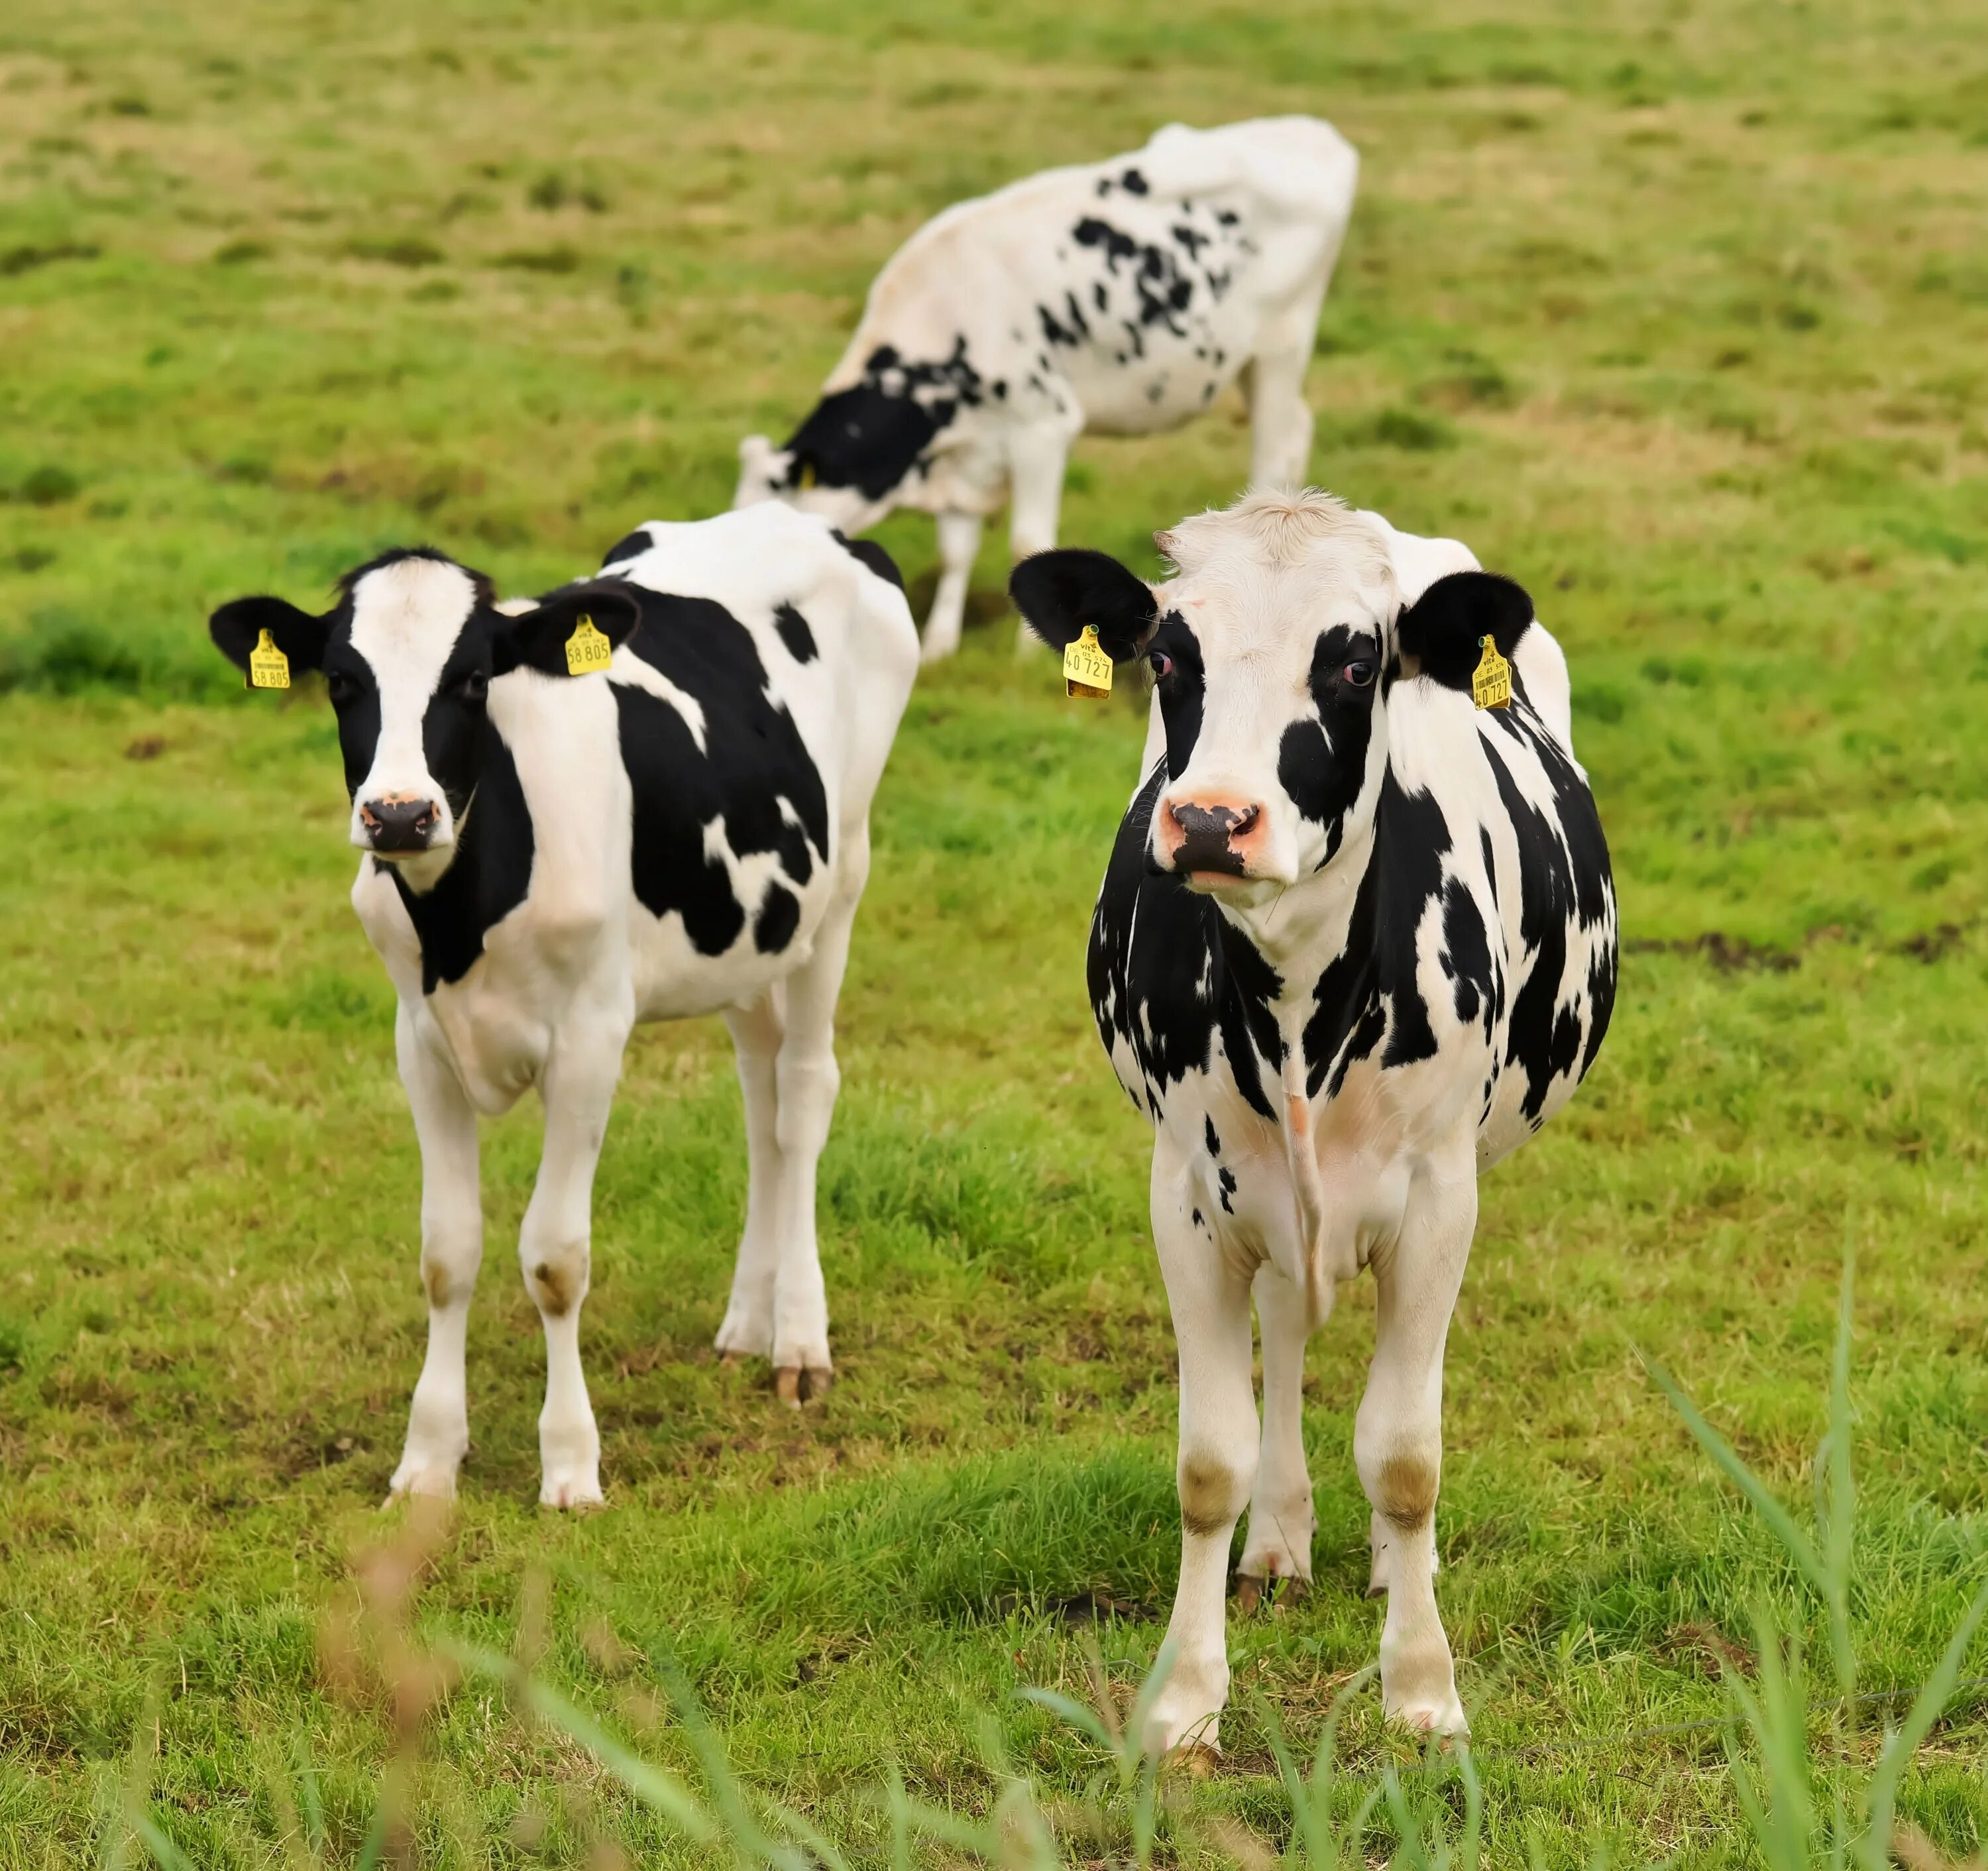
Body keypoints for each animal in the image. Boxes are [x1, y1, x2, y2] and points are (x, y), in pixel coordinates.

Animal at [205, 503, 918, 1511]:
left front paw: (571, 1463)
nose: (399, 815)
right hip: (748, 932)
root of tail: (800, 518)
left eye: (473, 679)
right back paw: (747, 1320)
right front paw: (428, 1458)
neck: (465, 916)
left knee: (807, 1093)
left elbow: (554, 1259)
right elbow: (447, 1252)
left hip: (841, 878)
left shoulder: (589, 1042)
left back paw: (798, 1342)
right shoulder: (420, 1042)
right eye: (342, 681)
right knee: (762, 1099)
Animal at [740, 119, 1360, 664]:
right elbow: (955, 551)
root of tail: (1310, 132)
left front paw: (1026, 652)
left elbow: (1027, 542)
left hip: (1281, 346)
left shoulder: (1042, 426)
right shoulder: (967, 454)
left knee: (1273, 450)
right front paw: (939, 644)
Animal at [1010, 489, 1614, 1741]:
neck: (1297, 1001)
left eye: (1355, 662)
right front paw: (1185, 1699)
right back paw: (1281, 1535)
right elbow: (1209, 1461)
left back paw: (1386, 1564)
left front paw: (1423, 1689)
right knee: (1285, 1330)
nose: (1209, 820)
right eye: (1169, 655)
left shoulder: (1438, 1199)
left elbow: (1406, 1453)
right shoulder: (1187, 1193)